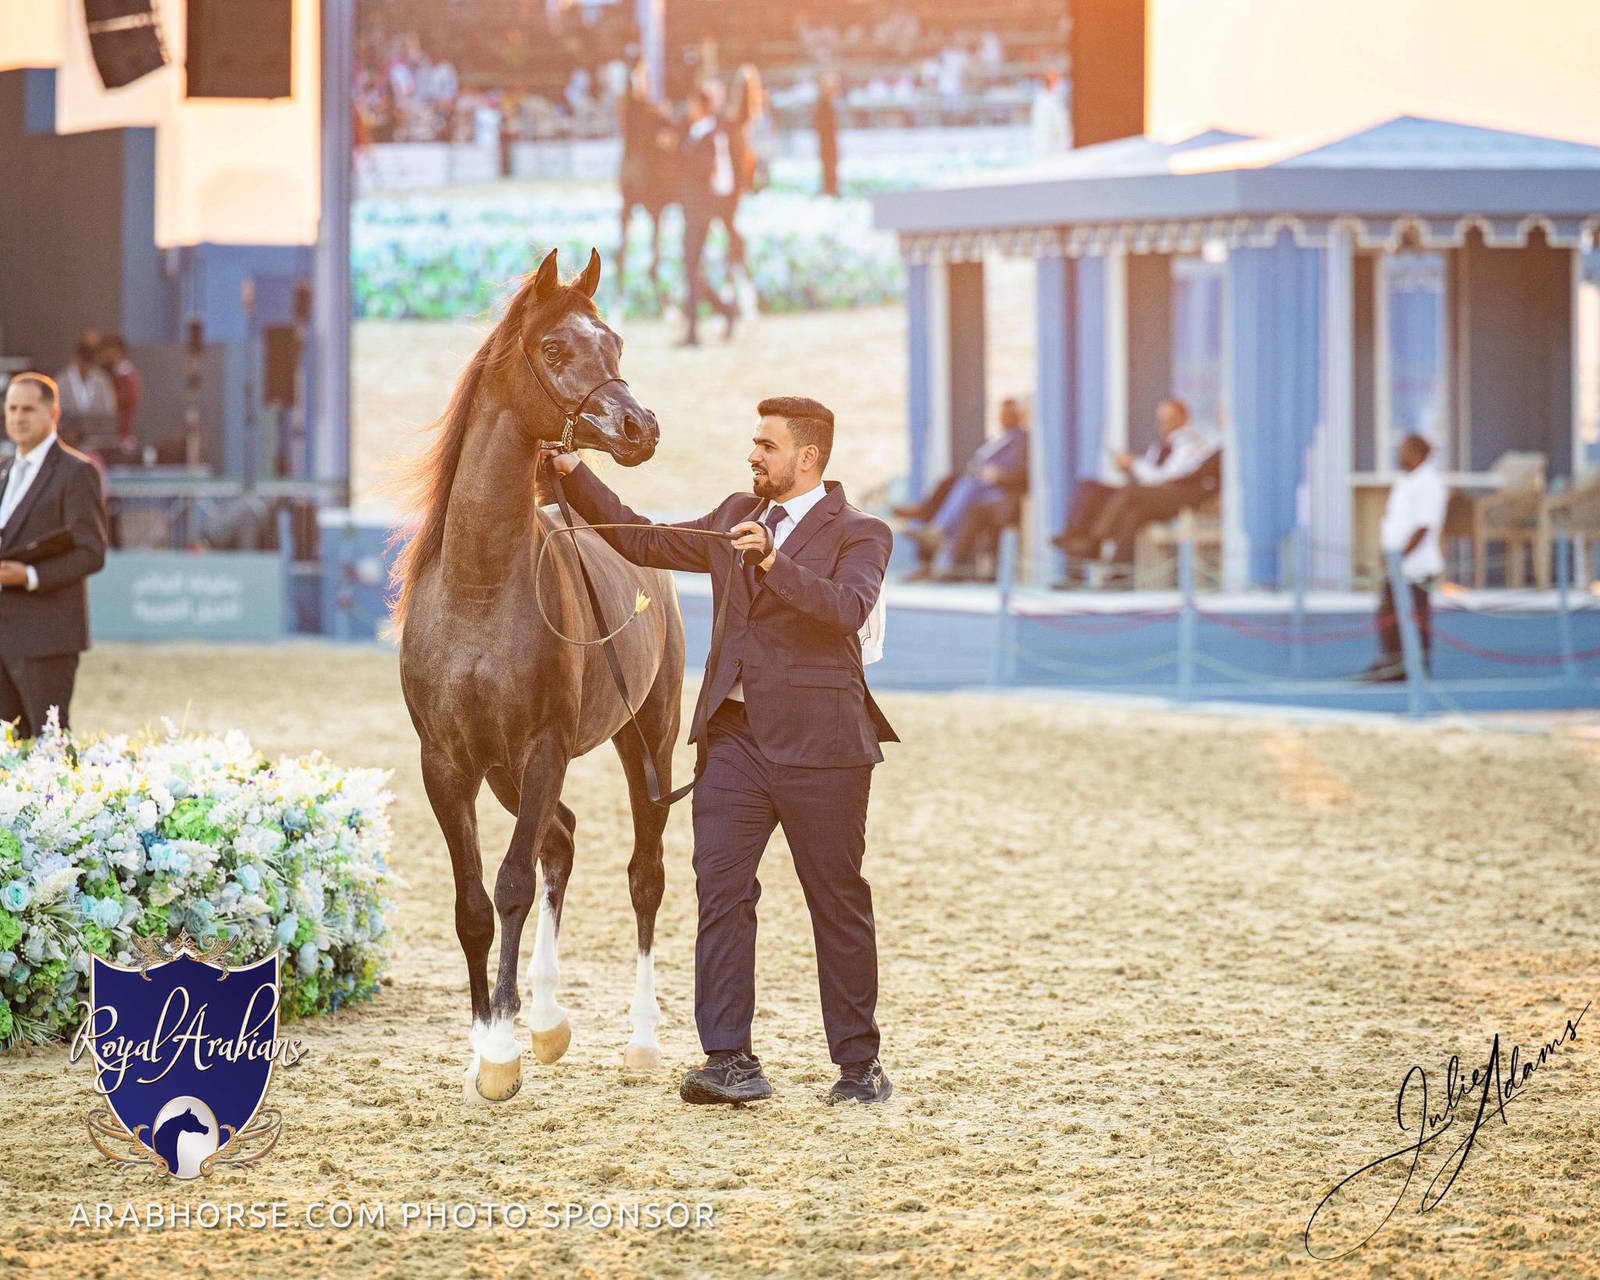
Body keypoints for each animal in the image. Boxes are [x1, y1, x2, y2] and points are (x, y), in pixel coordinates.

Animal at [392, 246, 686, 1103]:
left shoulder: (546, 748)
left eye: (614, 340)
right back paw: (546, 1016)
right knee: (562, 839)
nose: (640, 426)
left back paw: (641, 1040)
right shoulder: (447, 765)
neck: (482, 587)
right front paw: (491, 1041)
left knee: (642, 875)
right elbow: (472, 904)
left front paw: (498, 1053)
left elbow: (512, 883)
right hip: (506, 775)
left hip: (647, 743)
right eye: (555, 347)